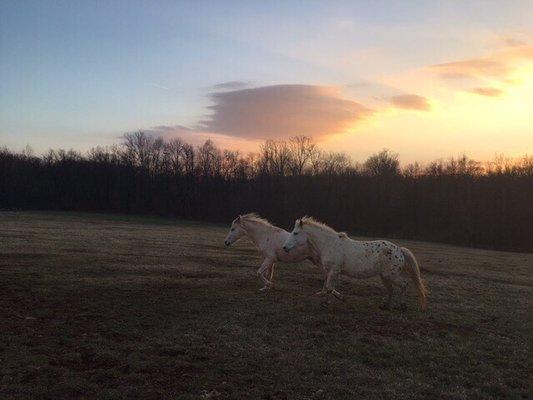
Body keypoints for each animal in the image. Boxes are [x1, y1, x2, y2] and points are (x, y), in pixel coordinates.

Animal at [282, 217, 428, 310]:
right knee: (391, 289)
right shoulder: (330, 271)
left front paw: (325, 302)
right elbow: (327, 287)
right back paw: (385, 306)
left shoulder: (334, 270)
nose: (284, 247)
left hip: (390, 275)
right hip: (384, 276)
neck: (330, 244)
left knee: (404, 284)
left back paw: (402, 306)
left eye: (295, 233)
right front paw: (327, 299)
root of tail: (399, 250)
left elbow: (328, 288)